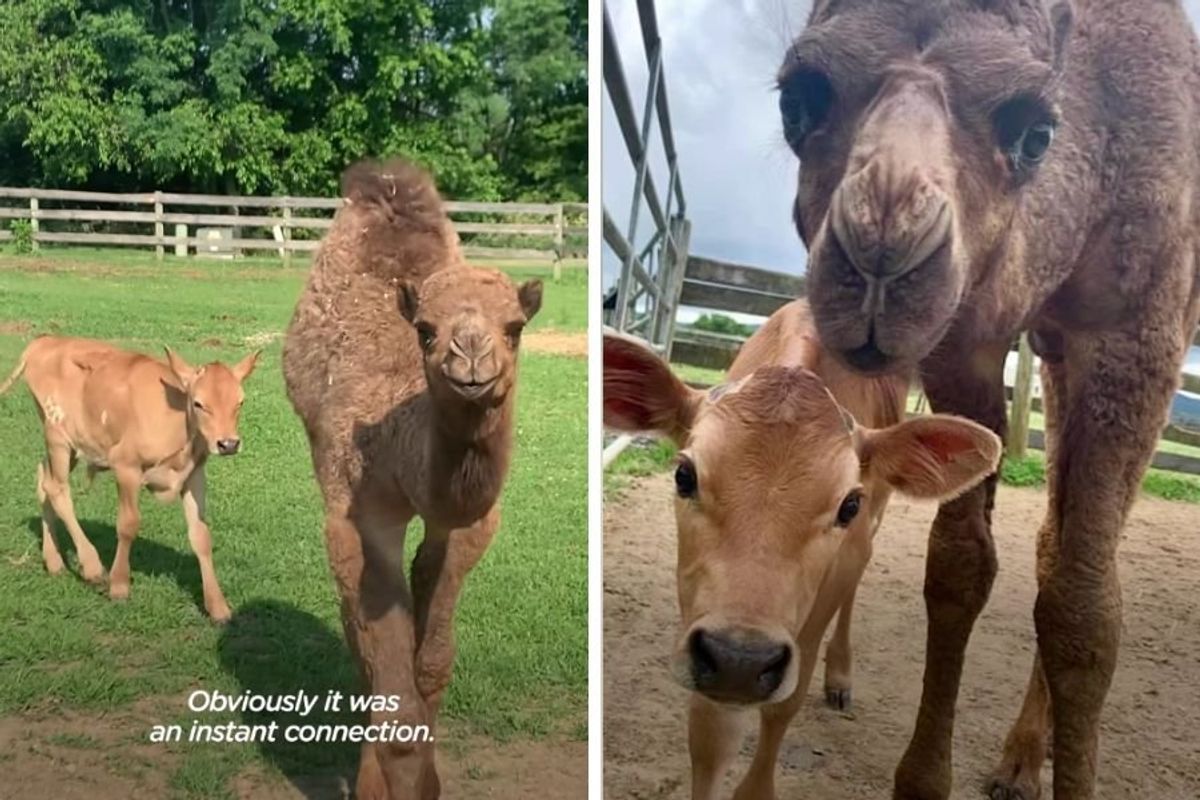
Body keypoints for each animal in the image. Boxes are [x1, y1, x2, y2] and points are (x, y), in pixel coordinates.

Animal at [282, 159, 542, 800]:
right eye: (424, 328)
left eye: (515, 327)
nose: (470, 356)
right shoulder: (358, 513)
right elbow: (390, 687)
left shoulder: (472, 521)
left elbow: (432, 664)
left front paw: (430, 780)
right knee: (360, 643)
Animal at [603, 299, 1001, 800]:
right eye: (684, 475)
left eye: (848, 505)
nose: (741, 659)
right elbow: (711, 732)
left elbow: (784, 705)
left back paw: (840, 675)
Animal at [777, 1, 1200, 798]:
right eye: (797, 100)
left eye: (1034, 132)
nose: (882, 249)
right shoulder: (964, 336)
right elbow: (959, 565)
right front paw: (922, 777)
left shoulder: (1139, 332)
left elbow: (1086, 607)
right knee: (1049, 541)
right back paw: (1018, 760)